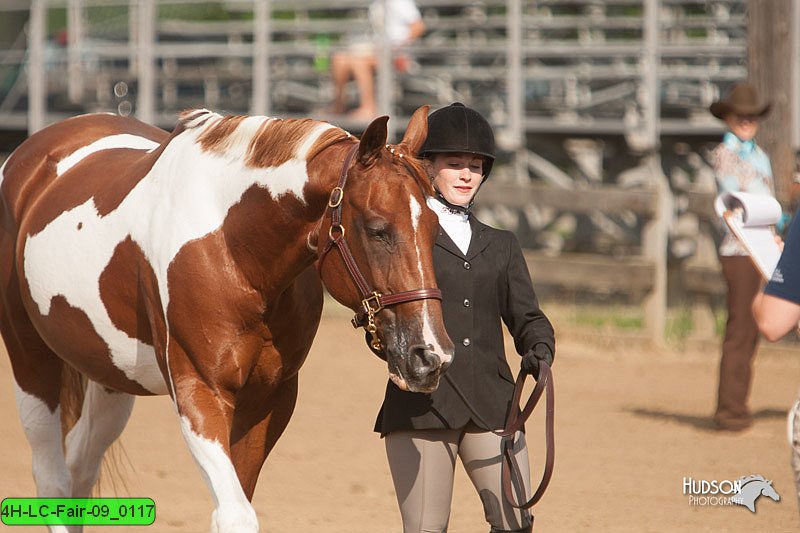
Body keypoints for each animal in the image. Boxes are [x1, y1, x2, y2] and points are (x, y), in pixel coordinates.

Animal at [0, 106, 454, 528]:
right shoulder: (200, 393)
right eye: (378, 229)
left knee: (80, 468)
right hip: (31, 359)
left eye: (435, 228)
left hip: (112, 376)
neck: (233, 249)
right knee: (53, 480)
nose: (431, 355)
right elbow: (236, 514)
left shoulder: (269, 398)